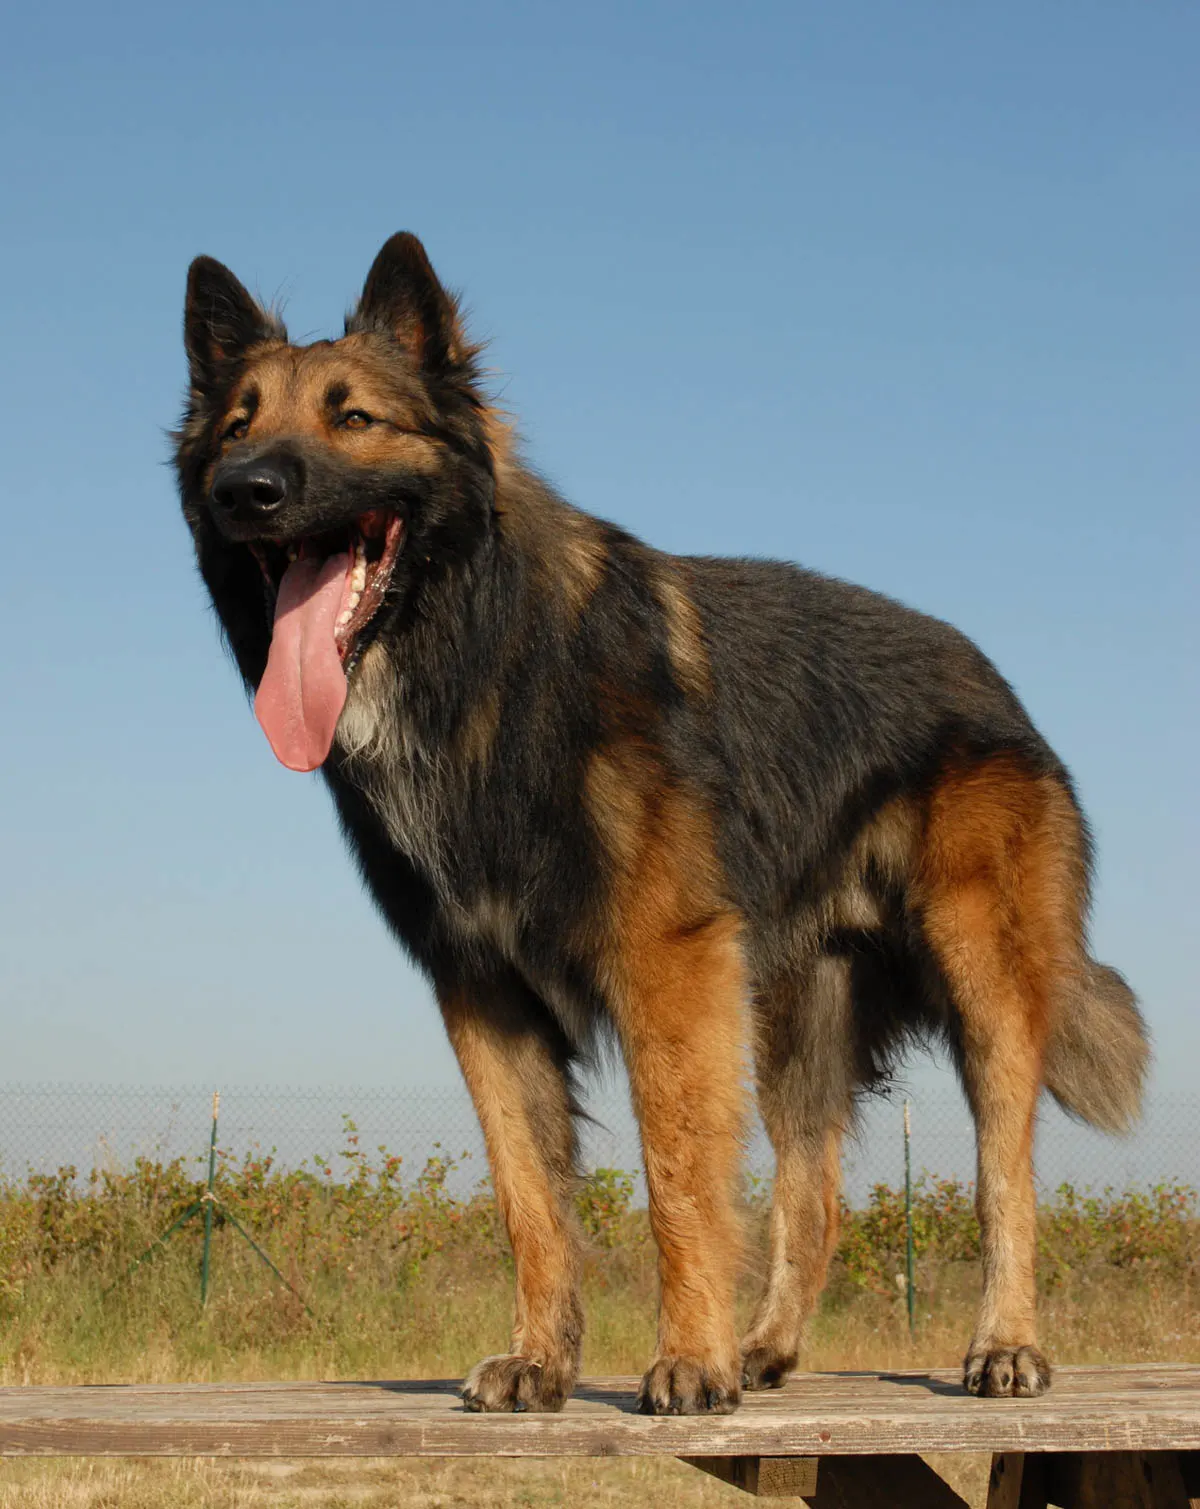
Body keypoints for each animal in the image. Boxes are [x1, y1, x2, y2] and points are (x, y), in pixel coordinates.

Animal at [173, 232, 1147, 1412]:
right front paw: (544, 1360)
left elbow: (677, 1179)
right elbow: (531, 1200)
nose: (247, 490)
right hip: (792, 1018)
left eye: (352, 417)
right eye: (238, 425)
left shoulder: (666, 967)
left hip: (983, 977)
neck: (482, 662)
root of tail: (997, 683)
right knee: (815, 1197)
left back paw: (1003, 1345)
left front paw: (687, 1360)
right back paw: (767, 1347)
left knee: (1005, 1175)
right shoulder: (484, 988)